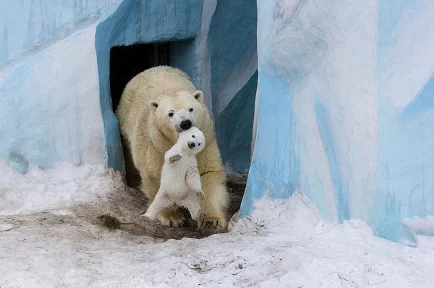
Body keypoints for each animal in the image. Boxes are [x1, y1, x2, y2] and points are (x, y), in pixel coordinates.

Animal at [117, 66, 229, 232]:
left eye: (191, 109)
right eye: (170, 113)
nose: (185, 123)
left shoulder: (206, 140)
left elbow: (206, 172)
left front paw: (211, 220)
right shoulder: (156, 145)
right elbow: (157, 176)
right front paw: (173, 218)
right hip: (125, 123)